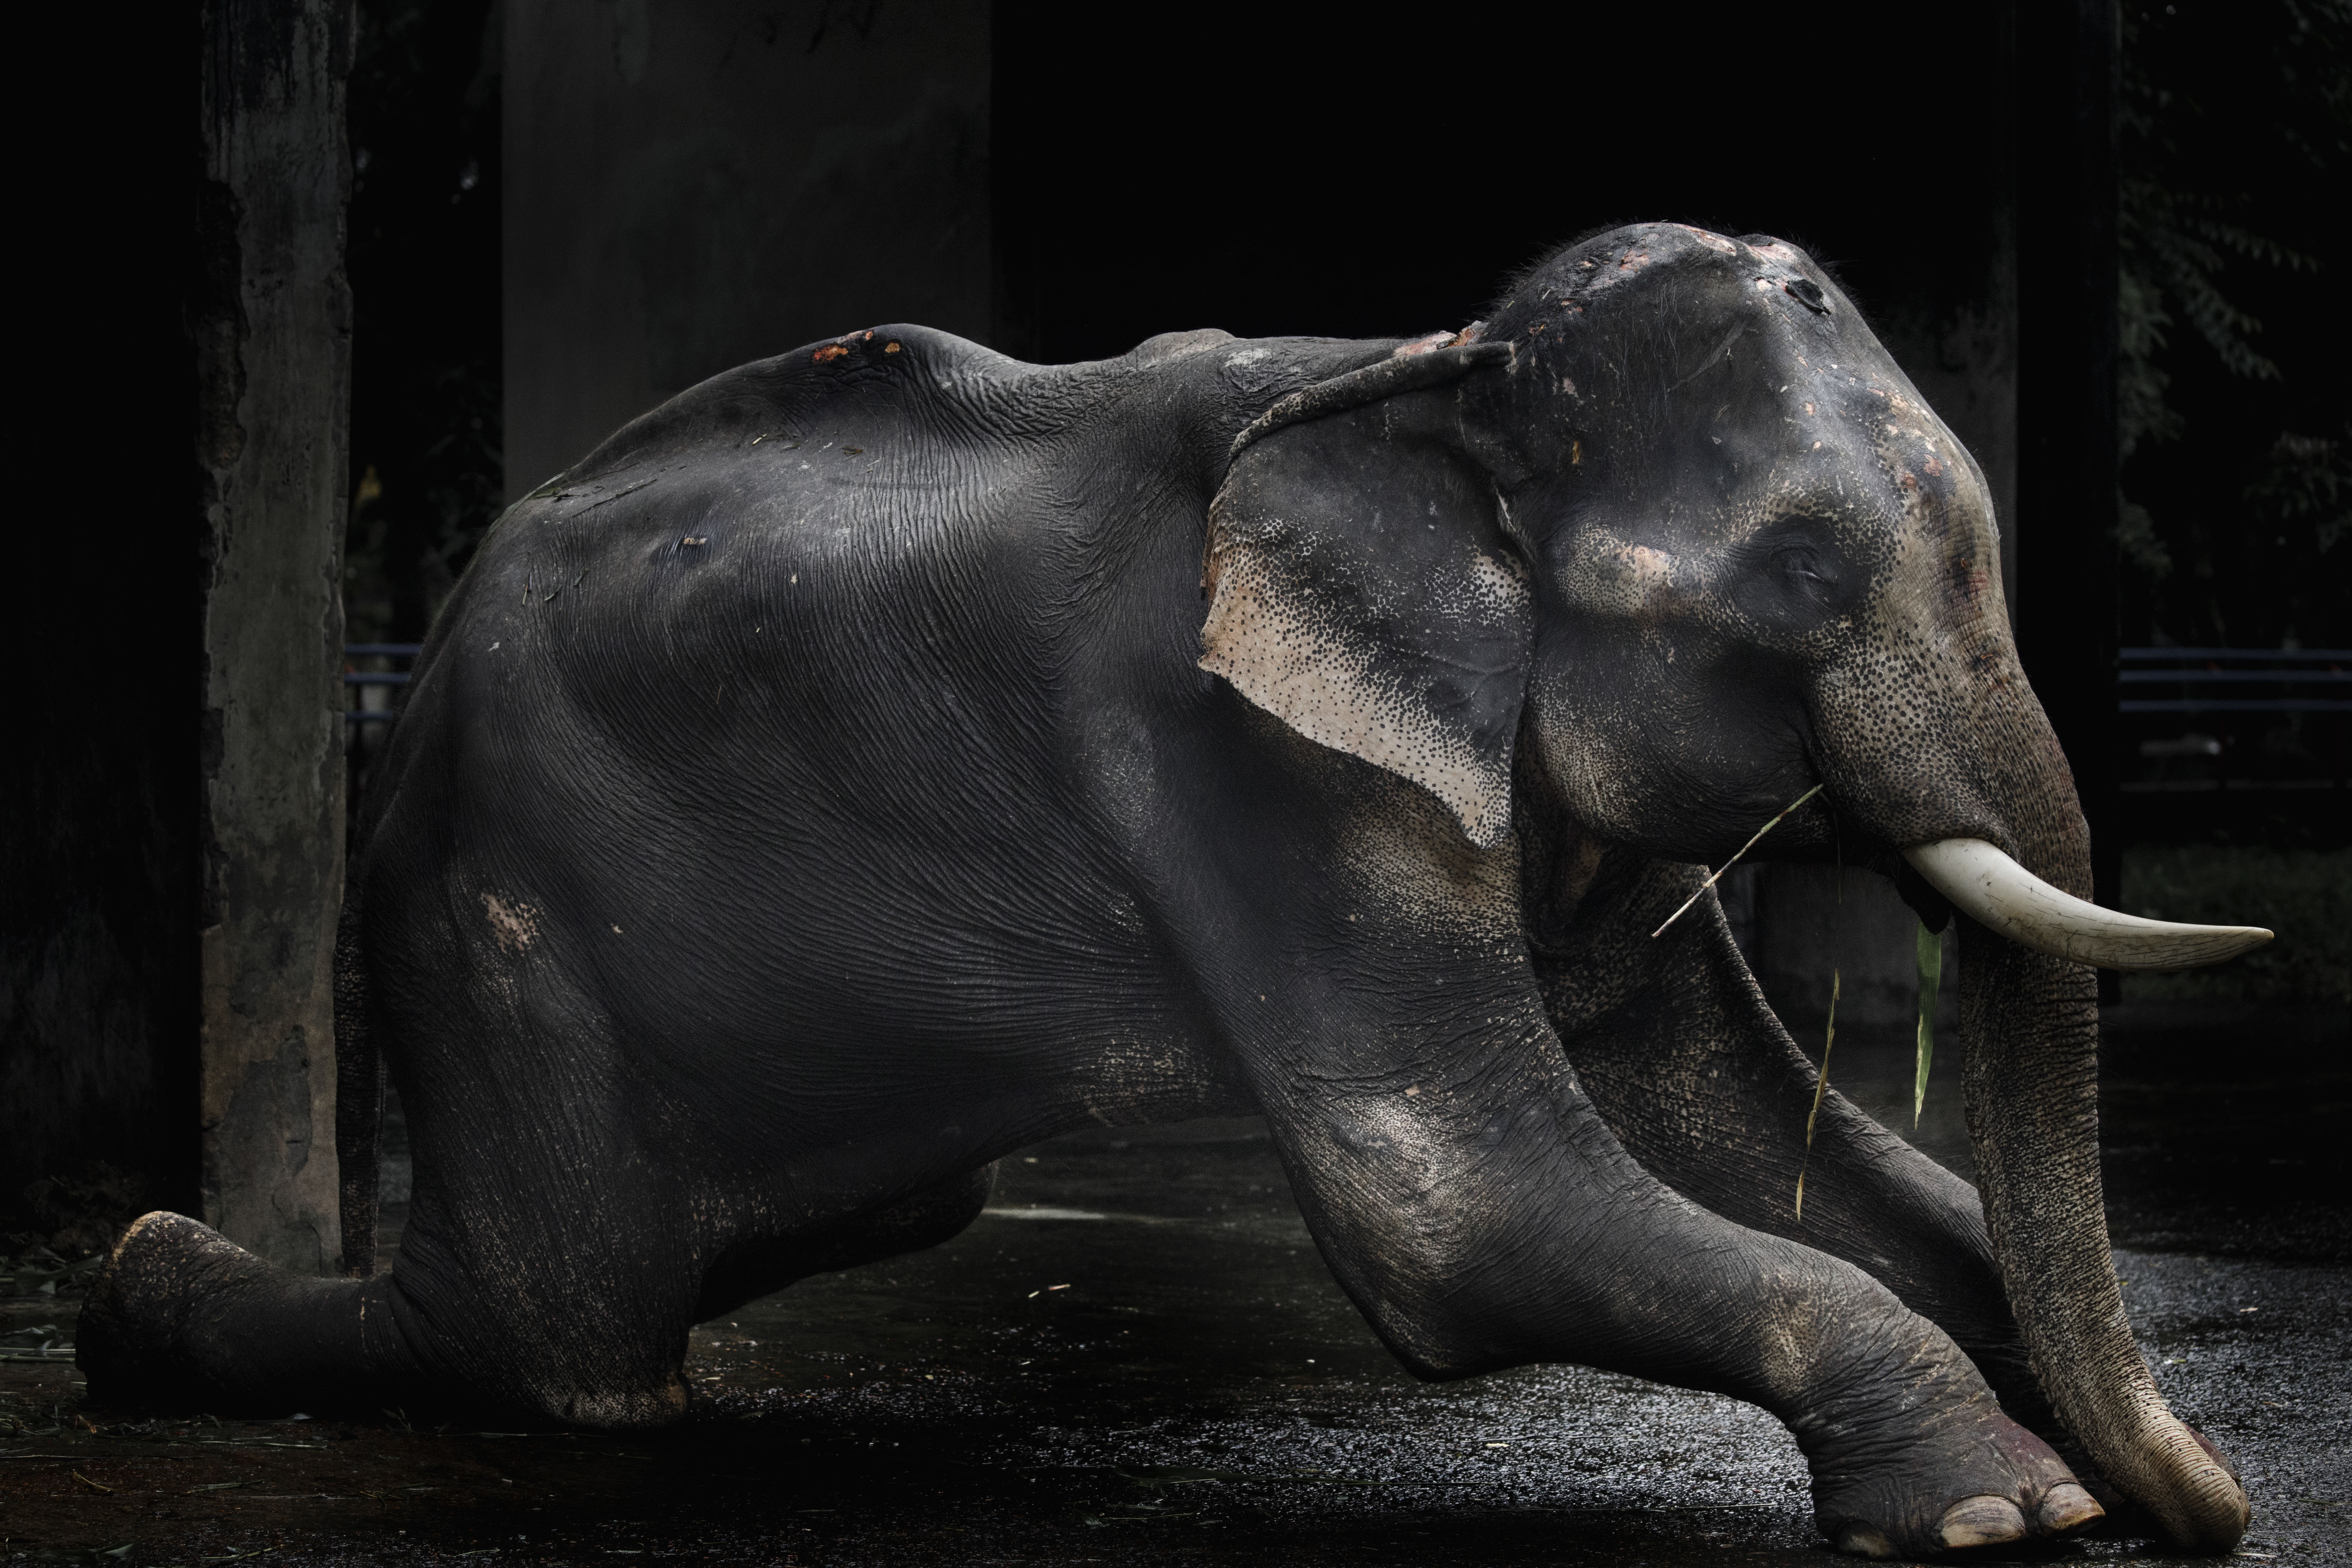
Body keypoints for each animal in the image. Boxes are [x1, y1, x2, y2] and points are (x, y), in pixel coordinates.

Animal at [80, 221, 2270, 1558]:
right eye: (1807, 571)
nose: (2229, 1507)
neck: (1435, 369)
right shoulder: (1239, 753)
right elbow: (1457, 1210)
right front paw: (2008, 1506)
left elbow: (1740, 1136)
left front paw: (2087, 1457)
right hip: (494, 926)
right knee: (561, 1329)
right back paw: (134, 1299)